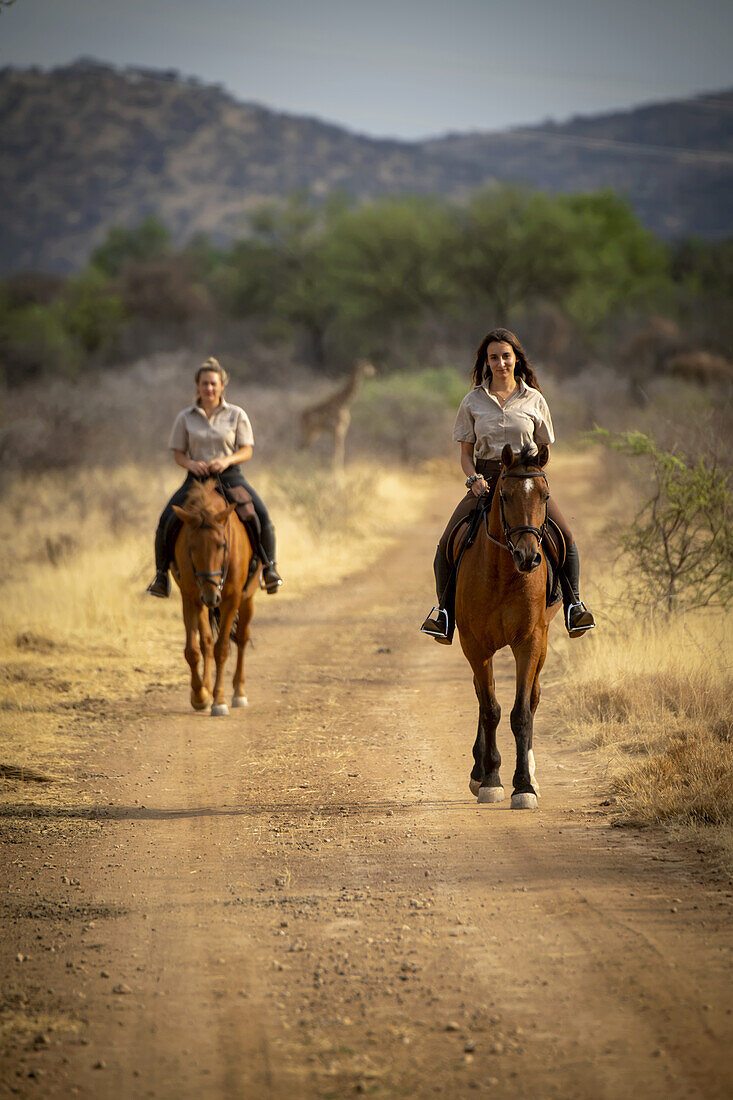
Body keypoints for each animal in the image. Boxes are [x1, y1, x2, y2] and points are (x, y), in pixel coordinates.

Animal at [170, 477, 256, 717]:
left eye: (222, 545)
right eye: (191, 547)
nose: (211, 595)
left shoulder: (231, 599)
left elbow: (222, 649)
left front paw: (219, 701)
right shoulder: (190, 597)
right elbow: (193, 650)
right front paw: (200, 696)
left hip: (246, 599)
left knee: (242, 638)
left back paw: (239, 693)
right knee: (206, 642)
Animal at [457, 442, 559, 814]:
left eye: (545, 495)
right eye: (505, 495)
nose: (529, 557)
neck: (504, 571)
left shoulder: (528, 641)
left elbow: (521, 713)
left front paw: (524, 787)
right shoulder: (475, 645)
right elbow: (490, 709)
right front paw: (490, 781)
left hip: (544, 639)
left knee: (534, 696)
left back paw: (531, 772)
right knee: (480, 695)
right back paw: (479, 771)